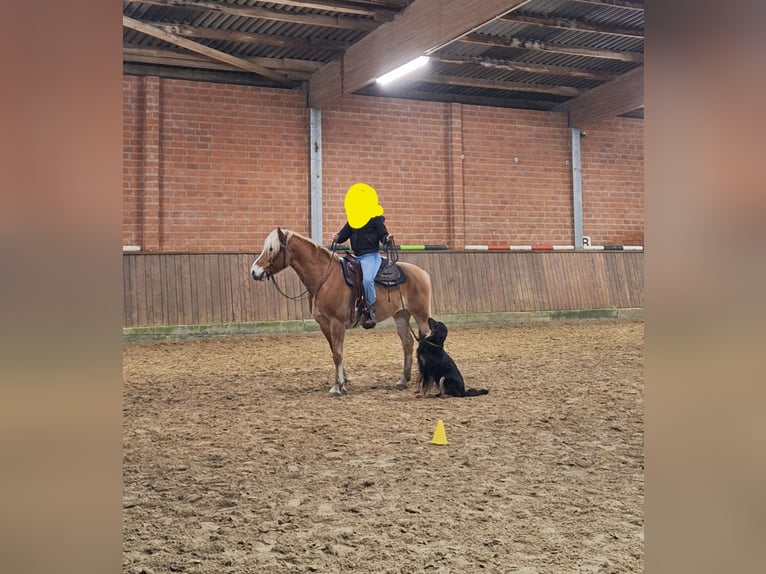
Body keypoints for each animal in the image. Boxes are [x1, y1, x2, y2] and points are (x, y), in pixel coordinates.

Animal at [250, 228, 432, 397]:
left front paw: (337, 387)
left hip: (421, 315)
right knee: (407, 343)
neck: (325, 278)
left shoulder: (336, 323)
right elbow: (335, 351)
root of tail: (422, 273)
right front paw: (343, 383)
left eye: (271, 249)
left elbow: (337, 354)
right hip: (401, 315)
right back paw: (403, 380)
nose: (254, 271)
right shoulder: (324, 324)